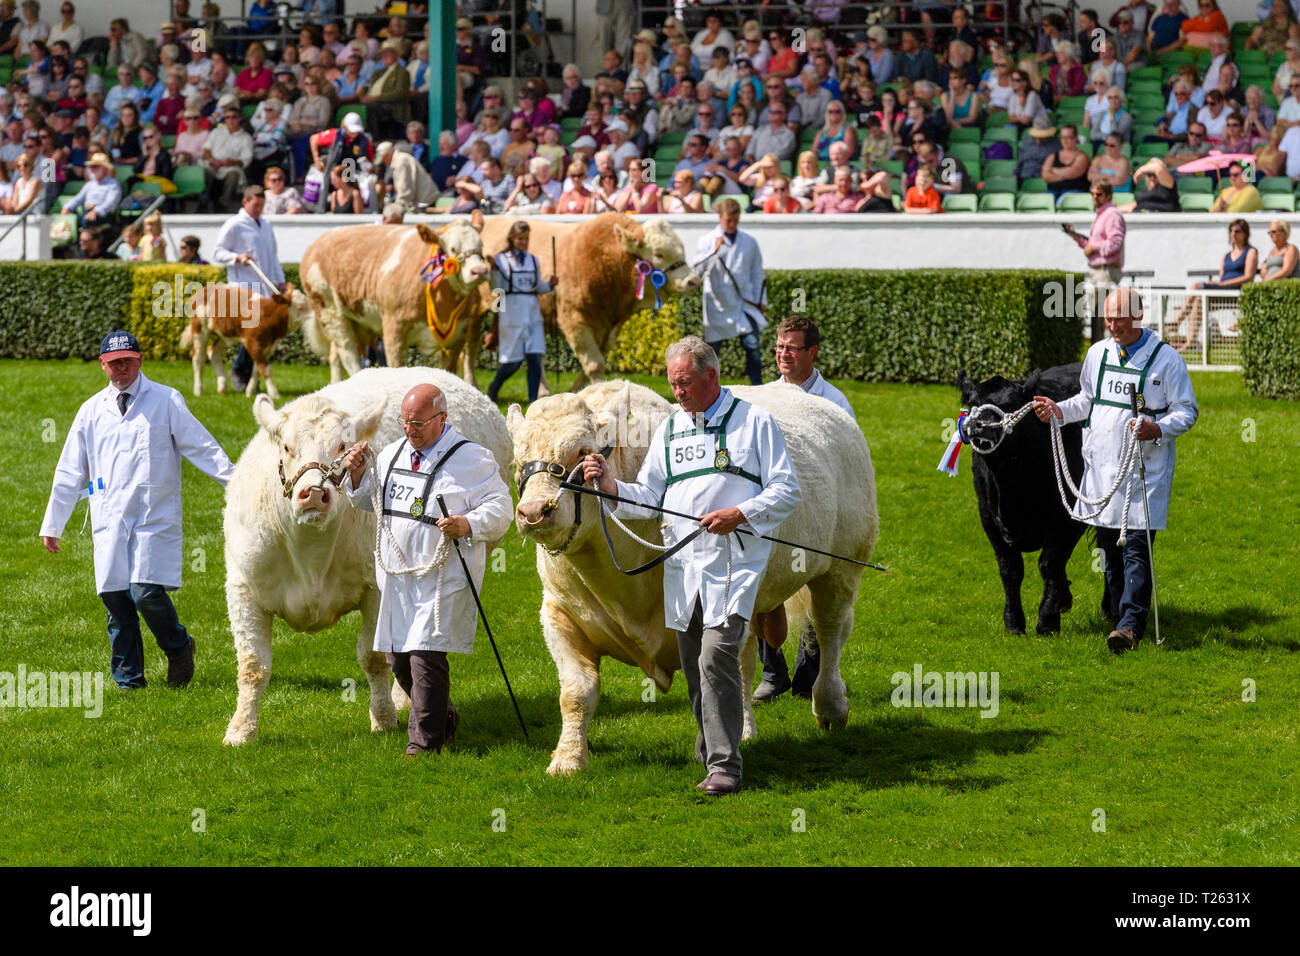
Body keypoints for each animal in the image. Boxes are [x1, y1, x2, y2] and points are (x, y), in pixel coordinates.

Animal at [180, 280, 312, 400]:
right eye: (299, 307)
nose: (314, 316)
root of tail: (204, 289)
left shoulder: (268, 346)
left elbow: (257, 369)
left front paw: (250, 391)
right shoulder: (252, 342)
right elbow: (266, 368)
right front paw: (274, 394)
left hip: (226, 333)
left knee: (213, 352)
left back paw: (222, 386)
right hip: (199, 328)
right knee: (198, 358)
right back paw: (198, 390)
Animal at [478, 215, 702, 392]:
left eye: (682, 251)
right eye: (658, 254)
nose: (693, 280)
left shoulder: (610, 329)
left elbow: (597, 359)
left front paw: (578, 390)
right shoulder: (574, 320)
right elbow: (594, 363)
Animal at [501, 377, 878, 775]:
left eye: (582, 451)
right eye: (517, 461)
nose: (534, 511)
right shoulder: (560, 612)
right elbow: (576, 691)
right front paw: (569, 758)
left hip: (842, 567)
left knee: (829, 632)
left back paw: (830, 707)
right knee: (749, 666)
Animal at [956, 364, 1086, 634]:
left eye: (1011, 404)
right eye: (973, 403)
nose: (984, 426)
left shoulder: (1070, 517)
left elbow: (1049, 563)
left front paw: (1047, 621)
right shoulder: (988, 516)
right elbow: (1010, 569)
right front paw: (1014, 622)